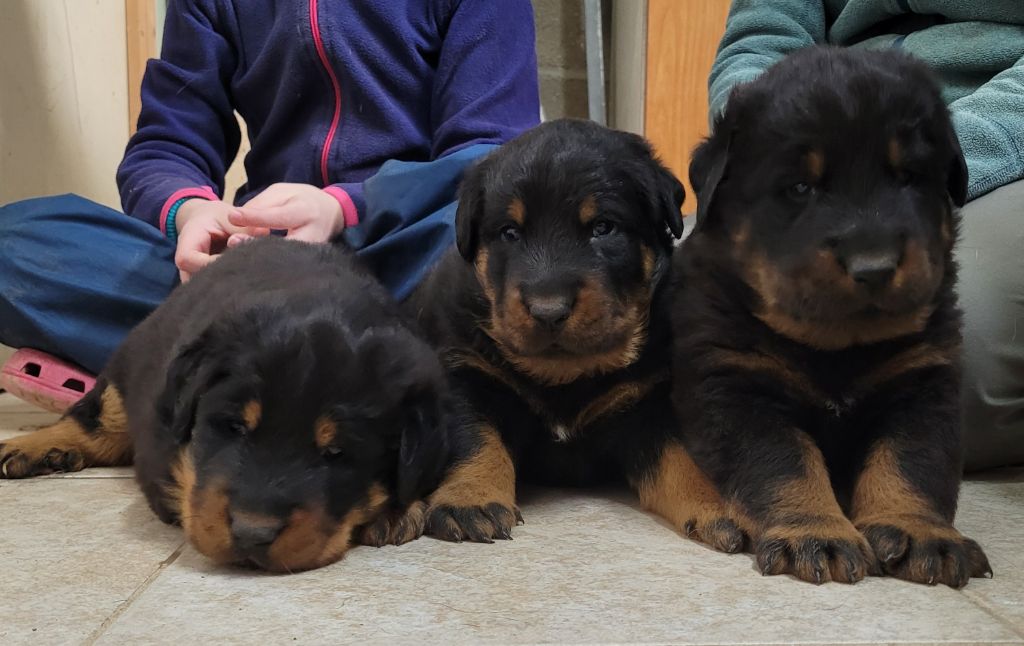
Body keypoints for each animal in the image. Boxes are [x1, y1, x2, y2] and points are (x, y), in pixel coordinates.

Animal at [403, 117, 741, 552]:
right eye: (509, 232)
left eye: (603, 228)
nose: (549, 309)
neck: (564, 374)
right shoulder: (465, 375)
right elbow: (476, 439)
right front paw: (471, 499)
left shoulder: (648, 404)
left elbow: (680, 461)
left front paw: (720, 506)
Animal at [671, 48, 991, 589]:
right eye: (801, 187)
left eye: (908, 177)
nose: (874, 266)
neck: (837, 350)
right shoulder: (737, 387)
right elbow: (786, 464)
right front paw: (816, 533)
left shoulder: (924, 384)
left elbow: (910, 463)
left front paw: (921, 533)